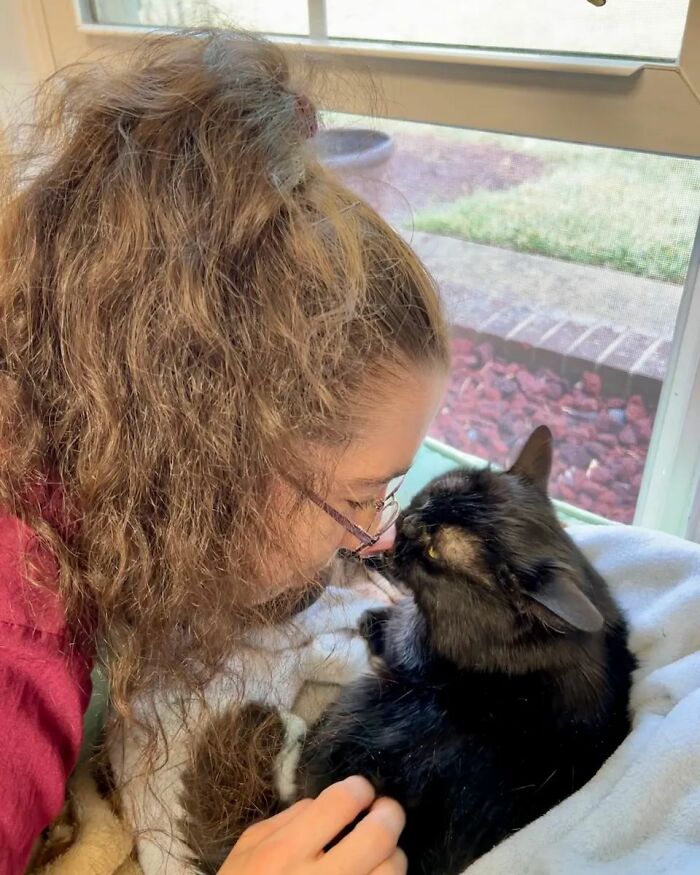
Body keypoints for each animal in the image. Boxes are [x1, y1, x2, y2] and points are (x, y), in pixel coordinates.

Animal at [298, 426, 636, 875]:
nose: (408, 520)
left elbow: (395, 617)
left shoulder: (414, 641)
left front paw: (373, 611)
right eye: (433, 496)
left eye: (435, 551)